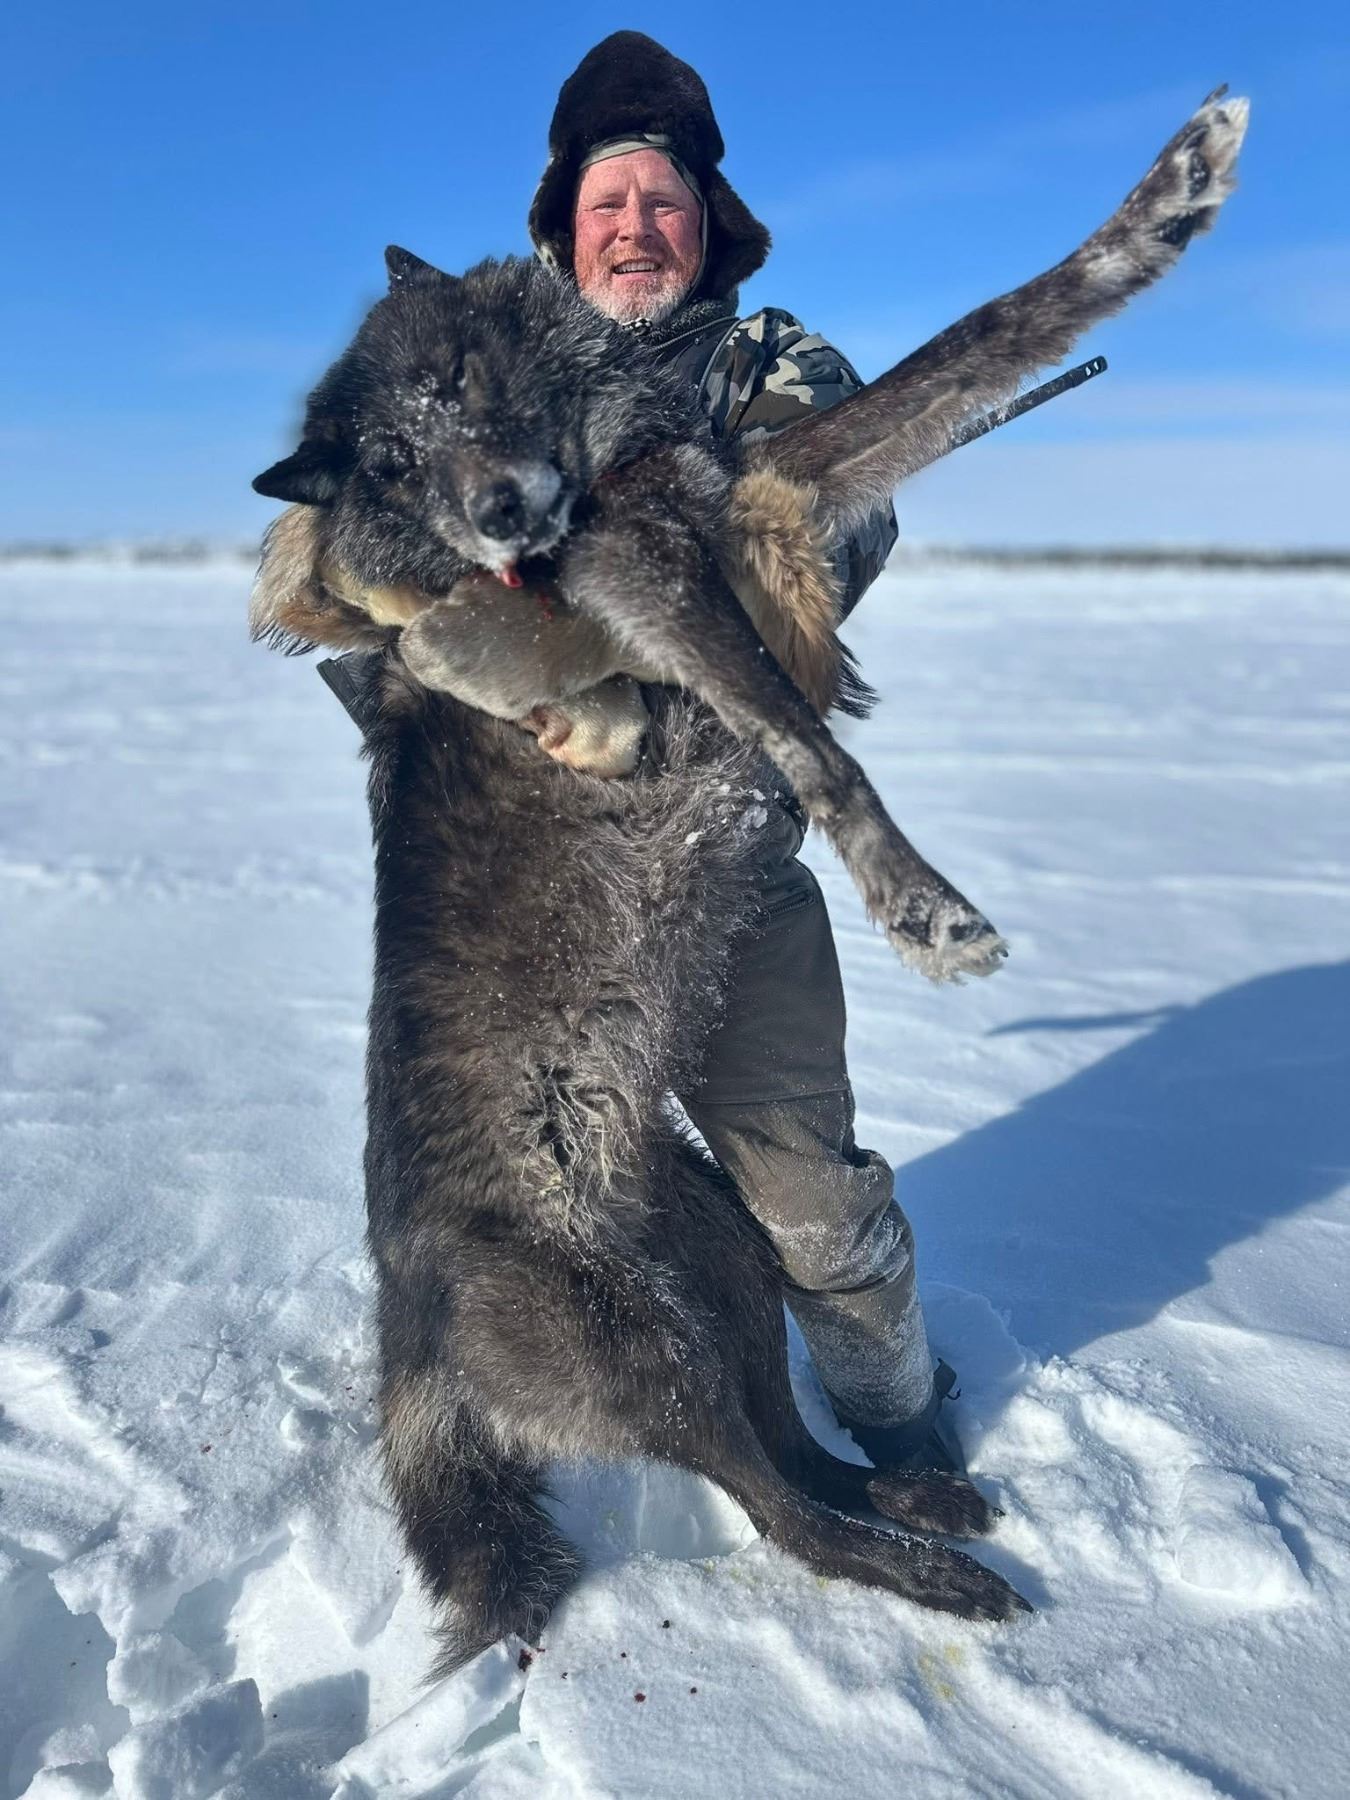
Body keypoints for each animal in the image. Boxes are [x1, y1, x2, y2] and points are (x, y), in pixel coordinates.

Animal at [251, 90, 1246, 1671]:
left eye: (458, 381)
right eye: (388, 465)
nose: (504, 512)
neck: (592, 448)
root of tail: (402, 1349)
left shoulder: (725, 502)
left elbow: (967, 349)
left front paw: (1172, 197)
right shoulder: (639, 570)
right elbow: (812, 730)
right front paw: (925, 910)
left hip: (725, 1265)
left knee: (795, 1445)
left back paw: (921, 1496)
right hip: (649, 1351)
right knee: (776, 1511)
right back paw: (934, 1573)